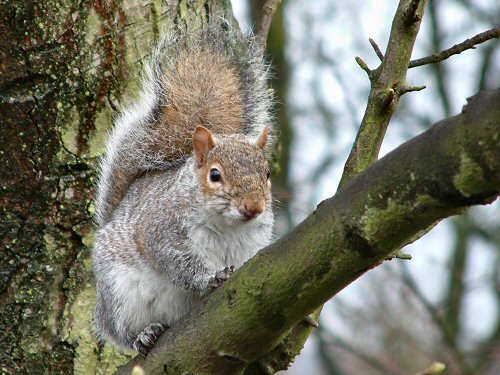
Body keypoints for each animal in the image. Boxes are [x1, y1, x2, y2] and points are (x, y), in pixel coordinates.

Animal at [92, 25, 276, 356]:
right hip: (119, 294)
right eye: (215, 175)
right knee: (122, 332)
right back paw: (144, 335)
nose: (253, 207)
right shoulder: (161, 229)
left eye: (267, 174)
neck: (227, 225)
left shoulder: (252, 243)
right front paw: (209, 278)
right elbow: (177, 262)